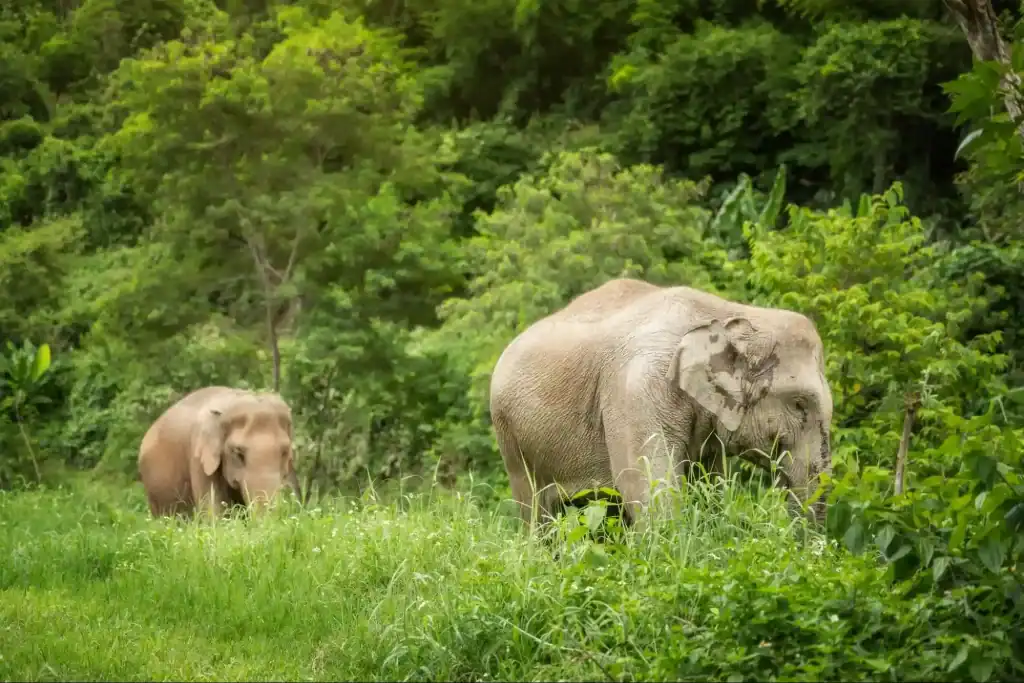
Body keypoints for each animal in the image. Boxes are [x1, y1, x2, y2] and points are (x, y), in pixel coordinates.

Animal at [488, 277, 834, 529]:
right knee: (537, 513)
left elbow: (708, 483)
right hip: (511, 439)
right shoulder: (637, 388)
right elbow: (644, 487)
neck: (727, 314)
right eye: (800, 404)